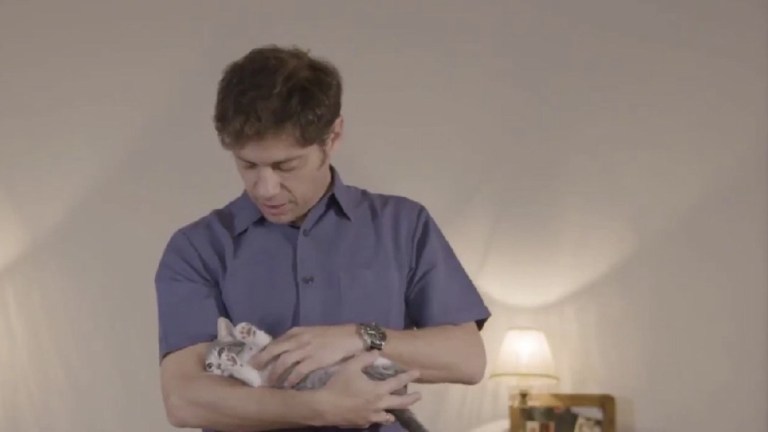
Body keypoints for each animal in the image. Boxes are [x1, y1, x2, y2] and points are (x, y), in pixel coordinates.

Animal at [204, 317, 429, 432]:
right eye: (209, 366)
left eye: (220, 350)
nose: (217, 366)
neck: (249, 356)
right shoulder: (264, 381)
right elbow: (252, 377)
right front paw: (234, 365)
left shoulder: (275, 349)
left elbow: (263, 340)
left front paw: (247, 333)